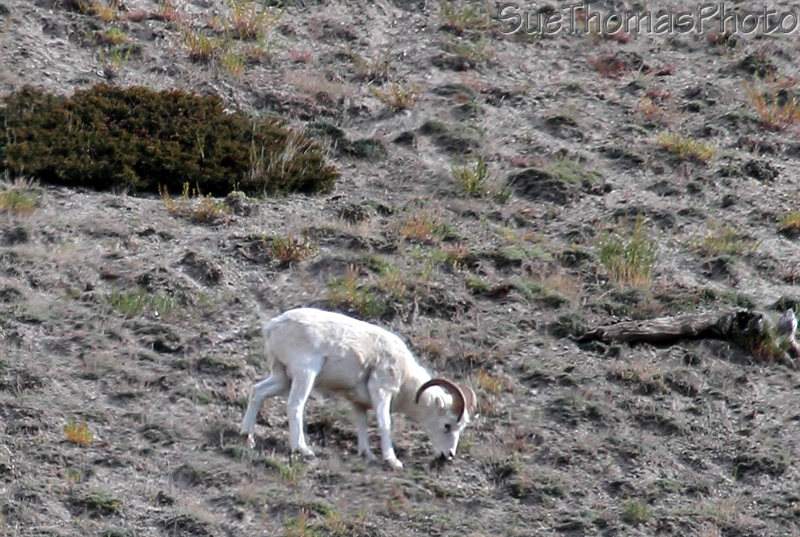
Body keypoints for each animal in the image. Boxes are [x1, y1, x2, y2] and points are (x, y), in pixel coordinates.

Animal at [239, 307, 477, 470]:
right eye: (447, 425)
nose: (449, 455)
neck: (405, 378)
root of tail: (273, 326)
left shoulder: (358, 403)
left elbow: (361, 424)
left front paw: (367, 455)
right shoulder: (382, 393)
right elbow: (384, 423)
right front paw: (393, 461)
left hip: (282, 377)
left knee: (258, 391)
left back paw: (247, 436)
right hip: (305, 374)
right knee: (295, 405)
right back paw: (303, 449)